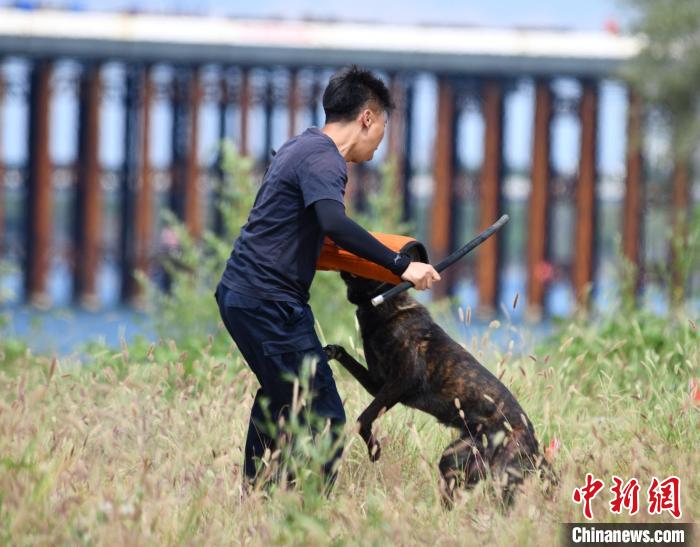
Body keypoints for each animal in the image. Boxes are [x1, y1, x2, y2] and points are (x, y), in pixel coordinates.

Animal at [324, 272, 556, 508]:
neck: (385, 304)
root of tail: (535, 443)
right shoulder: (379, 384)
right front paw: (331, 351)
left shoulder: (402, 381)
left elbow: (363, 418)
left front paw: (374, 449)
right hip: (457, 459)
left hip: (500, 477)